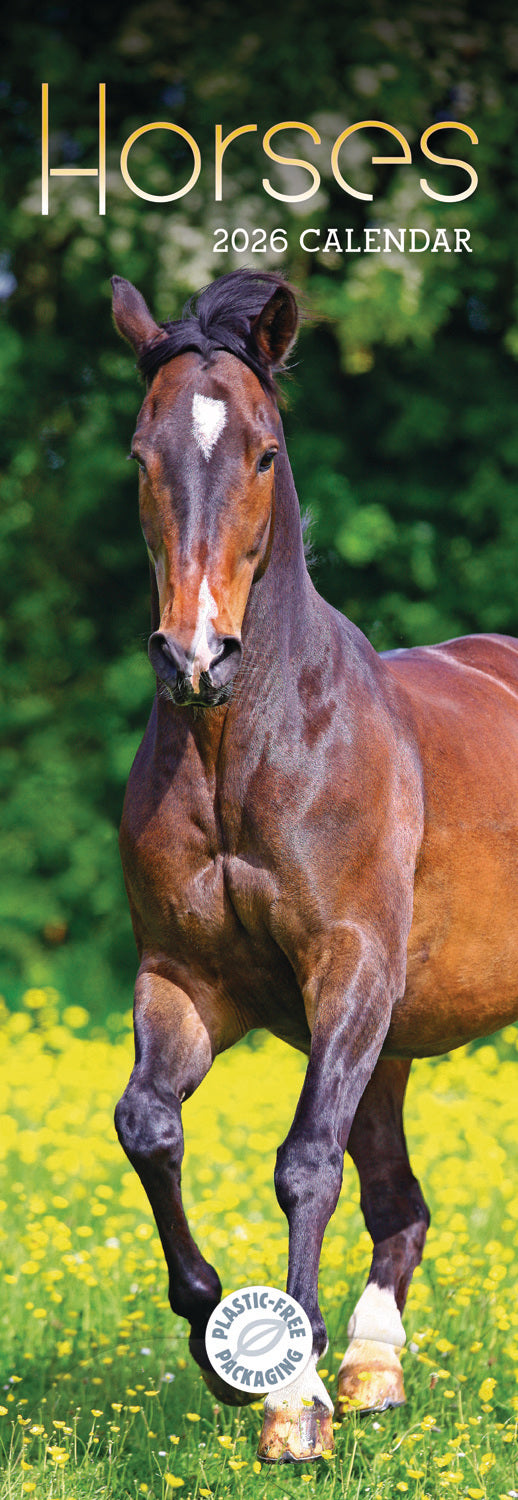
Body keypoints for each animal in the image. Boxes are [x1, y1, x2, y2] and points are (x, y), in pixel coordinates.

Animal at [111, 268, 518, 1463]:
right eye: (140, 454)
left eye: (262, 453)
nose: (196, 656)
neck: (245, 748)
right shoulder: (190, 983)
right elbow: (149, 1125)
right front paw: (224, 1345)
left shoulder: (349, 967)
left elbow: (303, 1163)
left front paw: (293, 1405)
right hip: (392, 1037)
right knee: (399, 1202)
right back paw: (375, 1369)